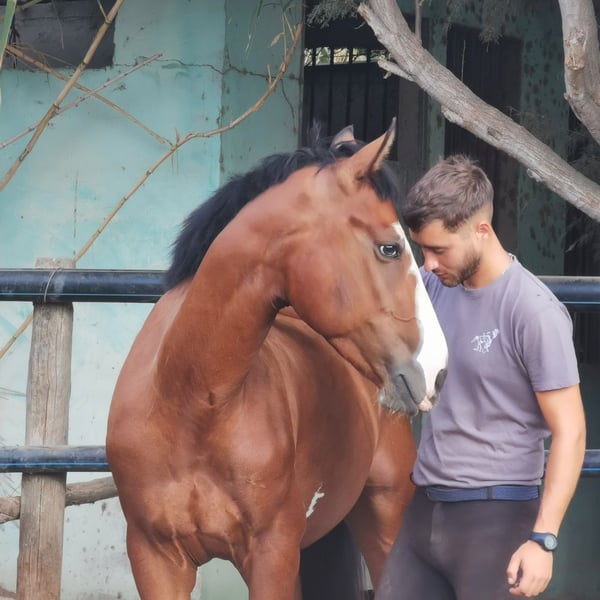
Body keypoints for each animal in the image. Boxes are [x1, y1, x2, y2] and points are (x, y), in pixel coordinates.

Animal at [106, 120, 448, 600]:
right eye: (389, 249)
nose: (437, 369)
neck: (190, 403)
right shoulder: (155, 559)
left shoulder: (272, 554)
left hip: (384, 514)